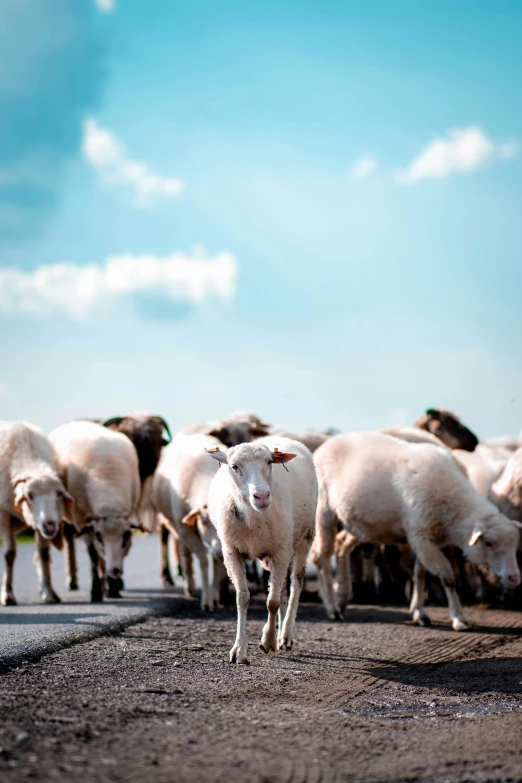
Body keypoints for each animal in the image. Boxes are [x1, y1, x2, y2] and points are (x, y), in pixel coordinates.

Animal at [0, 422, 73, 608]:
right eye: (29, 496)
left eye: (58, 494)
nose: (50, 524)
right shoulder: (3, 514)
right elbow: (9, 554)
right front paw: (7, 594)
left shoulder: (40, 526)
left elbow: (43, 554)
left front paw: (48, 591)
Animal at [47, 422, 138, 600]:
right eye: (99, 536)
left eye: (126, 536)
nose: (115, 571)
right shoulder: (81, 519)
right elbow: (93, 554)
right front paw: (96, 591)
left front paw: (113, 588)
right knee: (71, 540)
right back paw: (74, 581)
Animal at [149, 432, 224, 608]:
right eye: (204, 522)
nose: (221, 553)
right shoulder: (185, 529)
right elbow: (203, 560)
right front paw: (207, 601)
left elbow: (216, 563)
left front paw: (215, 596)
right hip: (175, 526)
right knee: (185, 555)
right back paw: (189, 587)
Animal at [205, 438, 314, 664]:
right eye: (234, 466)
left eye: (269, 462)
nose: (262, 496)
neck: (253, 517)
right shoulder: (231, 551)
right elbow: (242, 598)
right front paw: (239, 650)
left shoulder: (281, 550)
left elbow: (272, 602)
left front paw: (268, 641)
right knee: (281, 588)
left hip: (304, 537)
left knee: (295, 584)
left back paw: (285, 635)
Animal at [310, 432, 516, 632]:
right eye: (488, 543)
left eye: (514, 547)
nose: (514, 578)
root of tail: (326, 445)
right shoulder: (420, 536)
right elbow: (447, 576)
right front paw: (459, 618)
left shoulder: (426, 539)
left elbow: (419, 574)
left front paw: (419, 612)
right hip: (324, 512)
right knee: (321, 557)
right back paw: (332, 607)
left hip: (359, 523)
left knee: (341, 545)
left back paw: (342, 597)